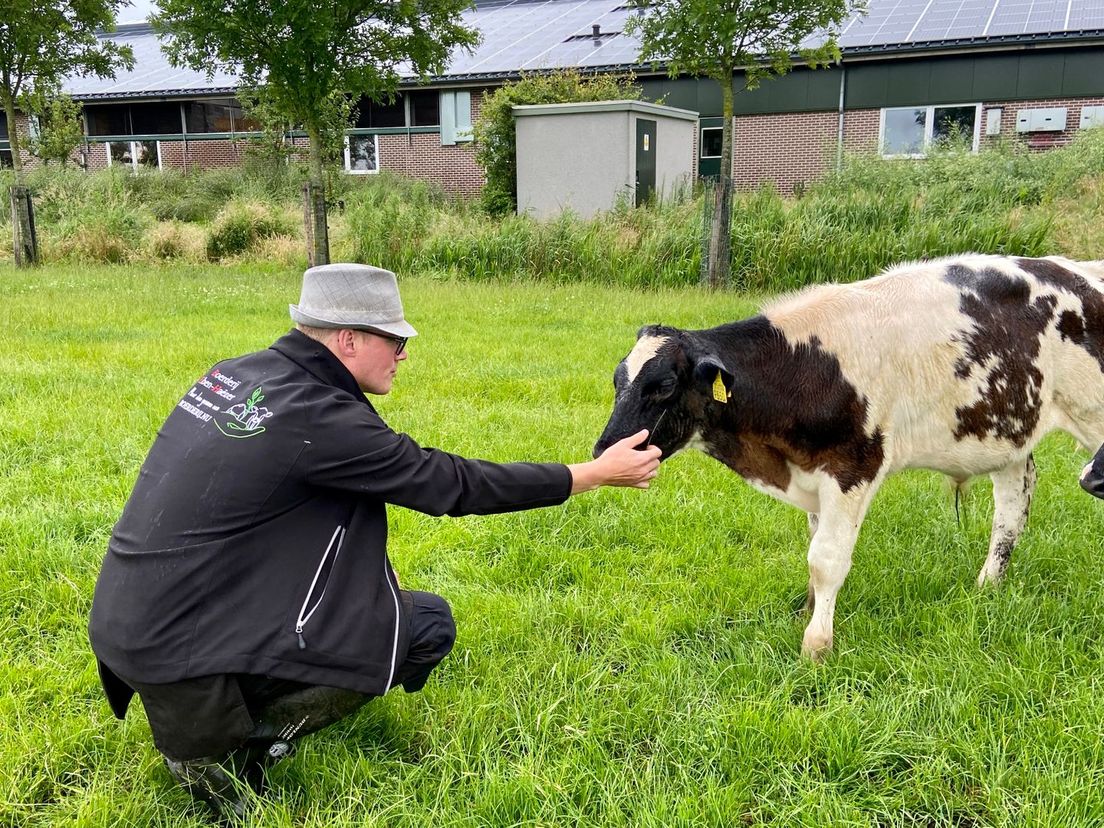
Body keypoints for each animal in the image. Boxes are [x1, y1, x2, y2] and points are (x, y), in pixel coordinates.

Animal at [596, 255, 1104, 662]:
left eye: (663, 386)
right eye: (618, 379)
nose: (604, 450)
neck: (804, 367)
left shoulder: (852, 468)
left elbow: (826, 559)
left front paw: (816, 645)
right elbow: (813, 548)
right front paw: (806, 612)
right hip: (1010, 432)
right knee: (1011, 512)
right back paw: (987, 589)